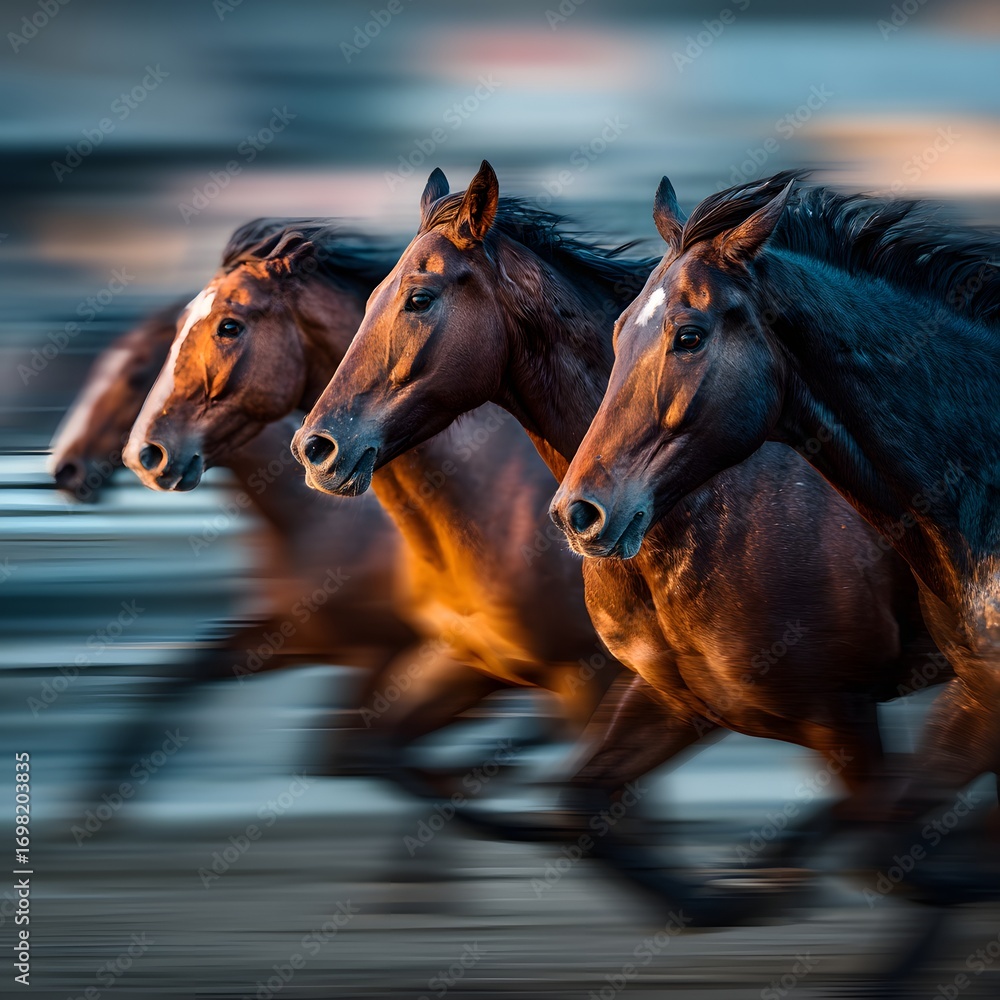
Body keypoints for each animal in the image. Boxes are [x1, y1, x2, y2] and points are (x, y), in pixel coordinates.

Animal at [292, 163, 947, 904]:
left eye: (419, 298)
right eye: (371, 295)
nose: (317, 447)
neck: (710, 509)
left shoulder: (836, 706)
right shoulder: (671, 697)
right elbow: (581, 805)